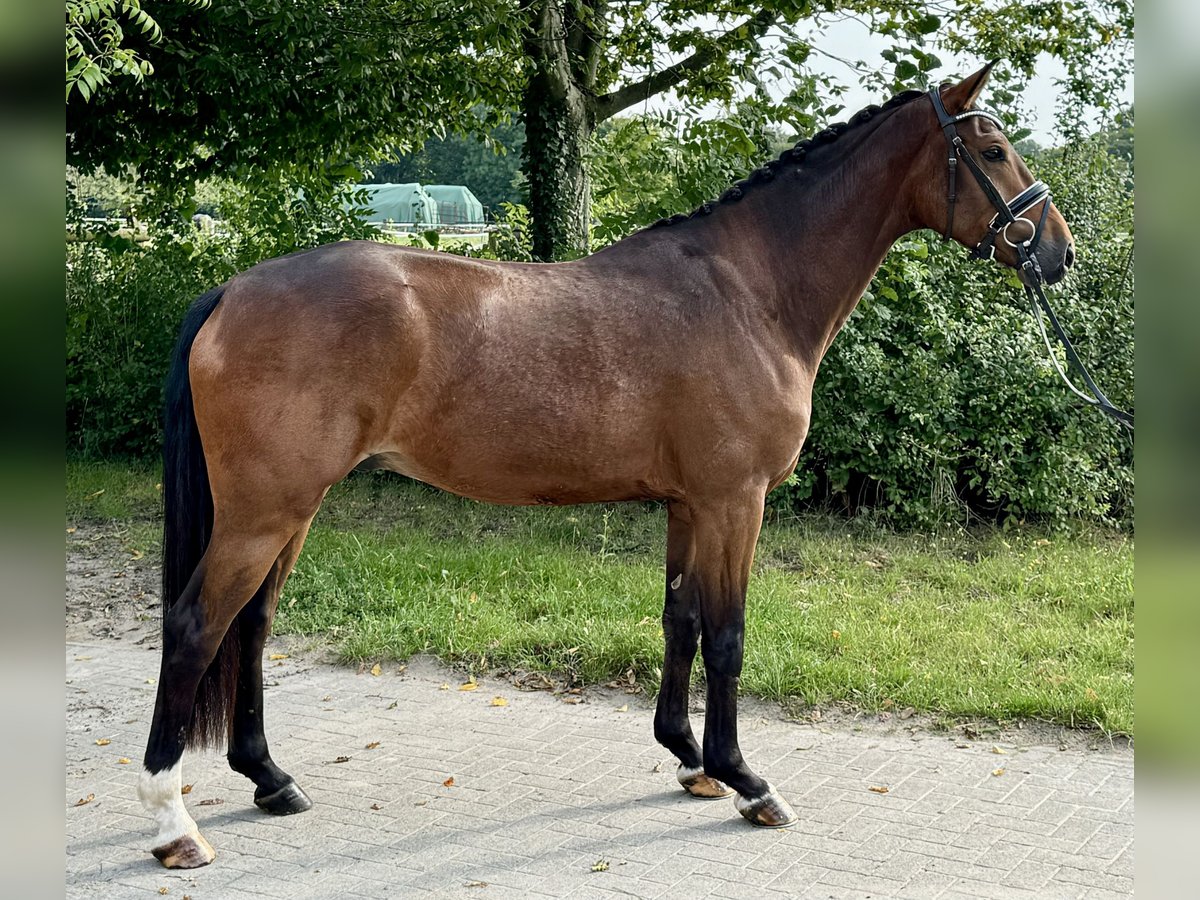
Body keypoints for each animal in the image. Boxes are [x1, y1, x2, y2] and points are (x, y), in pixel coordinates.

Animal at [136, 66, 1075, 868]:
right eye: (994, 151)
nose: (1057, 253)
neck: (750, 290)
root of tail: (233, 290)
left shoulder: (690, 505)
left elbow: (680, 622)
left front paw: (691, 760)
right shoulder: (735, 502)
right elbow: (728, 637)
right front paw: (746, 779)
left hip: (291, 510)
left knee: (250, 626)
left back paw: (270, 779)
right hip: (264, 512)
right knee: (195, 628)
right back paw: (173, 823)